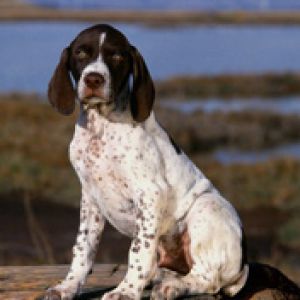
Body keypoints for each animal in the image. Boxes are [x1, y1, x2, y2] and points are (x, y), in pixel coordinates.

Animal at [43, 24, 247, 300]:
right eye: (81, 53)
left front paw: (126, 291)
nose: (94, 79)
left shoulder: (150, 193)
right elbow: (83, 248)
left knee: (207, 278)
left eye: (117, 56)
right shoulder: (90, 197)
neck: (101, 126)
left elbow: (138, 250)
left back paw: (173, 286)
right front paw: (68, 286)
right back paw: (163, 279)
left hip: (207, 206)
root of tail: (242, 268)